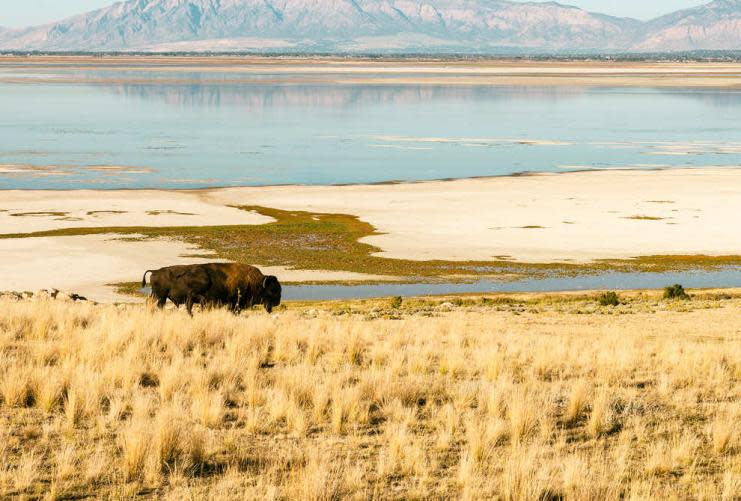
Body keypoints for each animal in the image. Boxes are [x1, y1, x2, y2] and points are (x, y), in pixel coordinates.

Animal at [142, 263, 281, 315]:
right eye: (272, 290)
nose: (277, 302)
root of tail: (155, 271)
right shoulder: (233, 303)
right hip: (162, 296)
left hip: (158, 296)